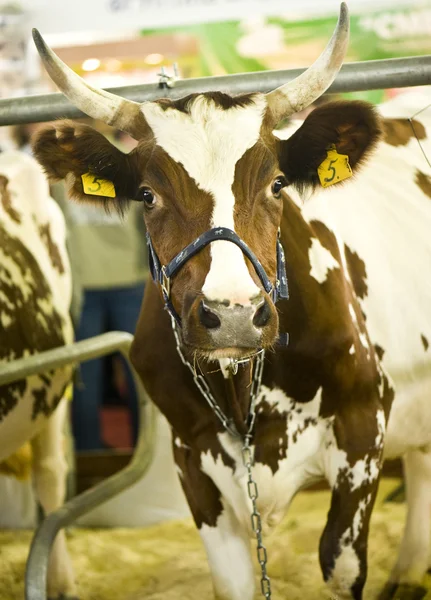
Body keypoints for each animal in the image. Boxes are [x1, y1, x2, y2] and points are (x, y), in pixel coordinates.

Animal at [30, 5, 431, 600]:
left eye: (279, 184)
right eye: (147, 195)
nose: (234, 314)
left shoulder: (363, 435)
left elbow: (339, 565)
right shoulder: (194, 462)